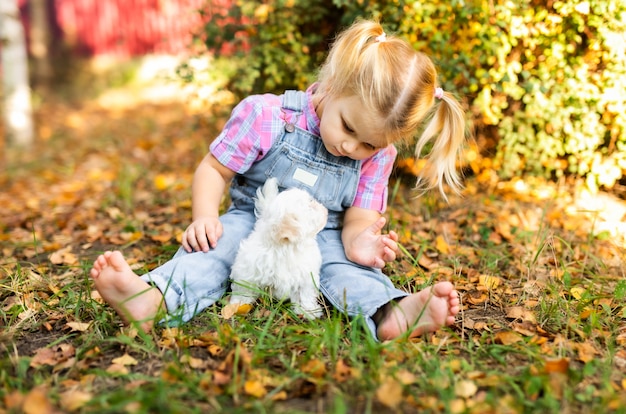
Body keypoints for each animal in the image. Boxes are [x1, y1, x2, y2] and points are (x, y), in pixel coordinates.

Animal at [228, 176, 326, 318]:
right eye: (310, 206)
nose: (323, 207)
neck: (286, 248)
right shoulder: (247, 269)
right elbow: (244, 287)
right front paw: (239, 304)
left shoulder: (306, 276)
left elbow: (305, 294)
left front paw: (308, 311)